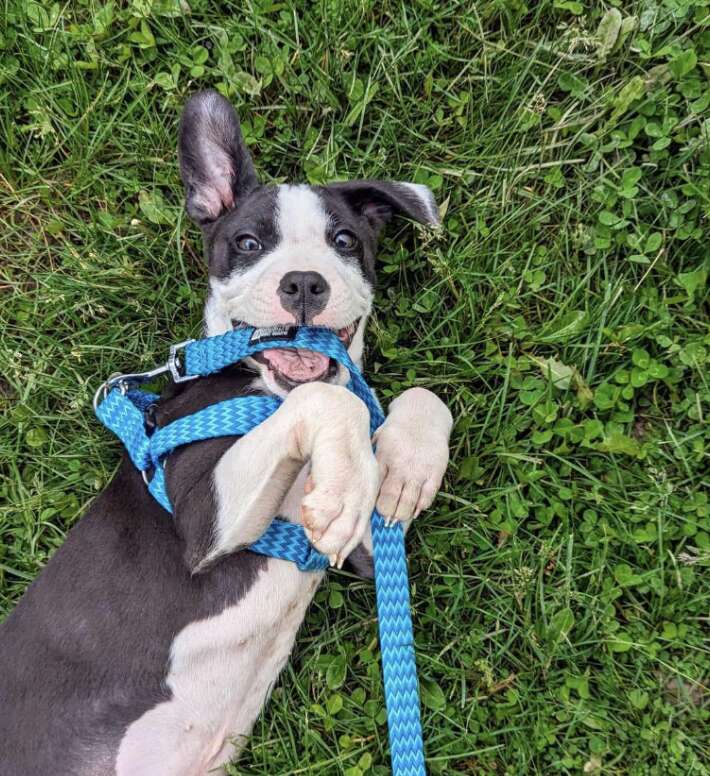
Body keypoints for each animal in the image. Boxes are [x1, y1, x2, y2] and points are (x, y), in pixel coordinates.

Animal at [0, 92, 454, 776]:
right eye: (247, 242)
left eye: (345, 241)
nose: (304, 283)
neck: (265, 386)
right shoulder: (202, 521)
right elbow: (329, 401)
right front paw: (347, 487)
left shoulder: (364, 557)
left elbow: (422, 399)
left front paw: (403, 467)